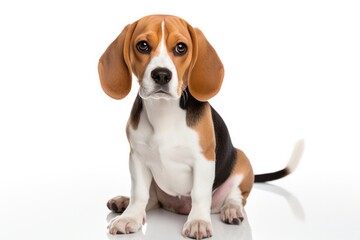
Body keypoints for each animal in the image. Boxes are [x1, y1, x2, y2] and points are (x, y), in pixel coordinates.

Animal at [97, 14, 302, 238]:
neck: (164, 112)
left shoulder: (204, 159)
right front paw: (130, 217)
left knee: (236, 196)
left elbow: (200, 193)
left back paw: (232, 210)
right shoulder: (137, 157)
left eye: (181, 48)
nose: (161, 75)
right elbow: (139, 193)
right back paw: (123, 202)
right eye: (142, 45)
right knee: (151, 199)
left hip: (242, 161)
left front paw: (198, 222)